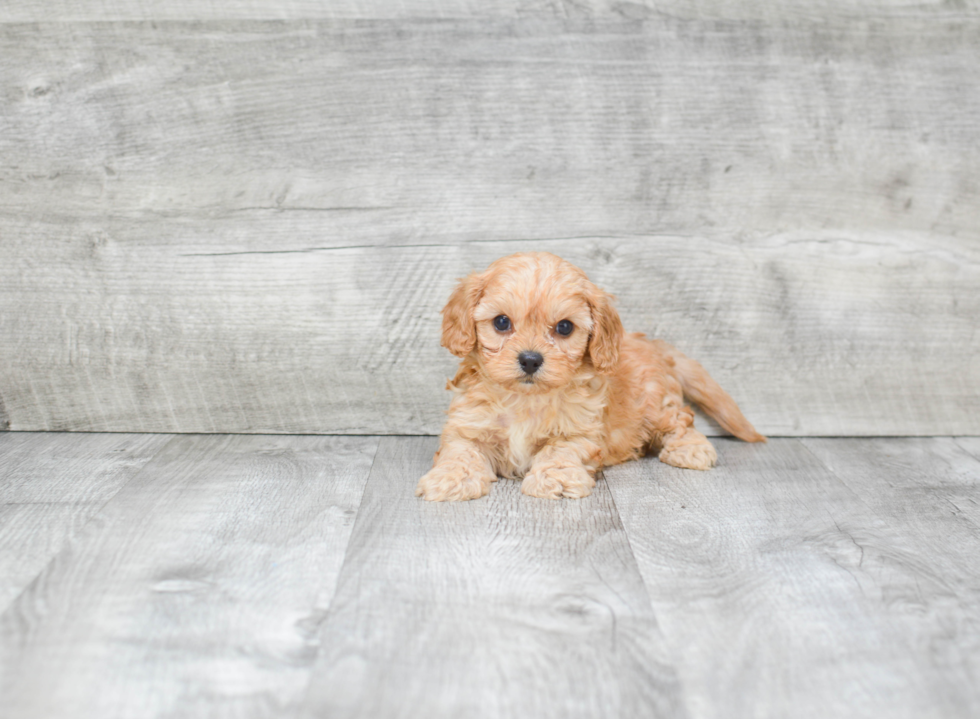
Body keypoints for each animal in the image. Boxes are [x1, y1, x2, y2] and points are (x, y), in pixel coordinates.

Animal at [414, 256, 764, 504]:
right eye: (501, 322)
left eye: (564, 327)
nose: (530, 360)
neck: (526, 399)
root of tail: (653, 344)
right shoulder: (469, 426)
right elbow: (461, 452)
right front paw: (450, 479)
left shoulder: (578, 432)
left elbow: (559, 452)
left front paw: (554, 480)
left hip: (657, 405)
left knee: (681, 421)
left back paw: (690, 449)